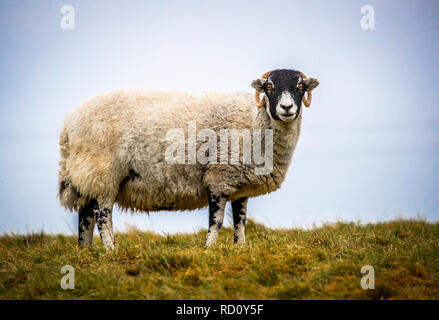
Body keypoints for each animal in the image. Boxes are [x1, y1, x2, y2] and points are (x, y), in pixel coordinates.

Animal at [58, 69, 320, 250]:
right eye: (269, 86)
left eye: (299, 86)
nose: (287, 108)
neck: (253, 123)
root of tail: (69, 124)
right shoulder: (218, 178)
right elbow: (216, 221)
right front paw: (209, 249)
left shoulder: (239, 186)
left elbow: (240, 221)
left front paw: (240, 248)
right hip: (102, 173)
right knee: (102, 216)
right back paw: (110, 250)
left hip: (87, 176)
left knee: (85, 215)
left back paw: (86, 251)